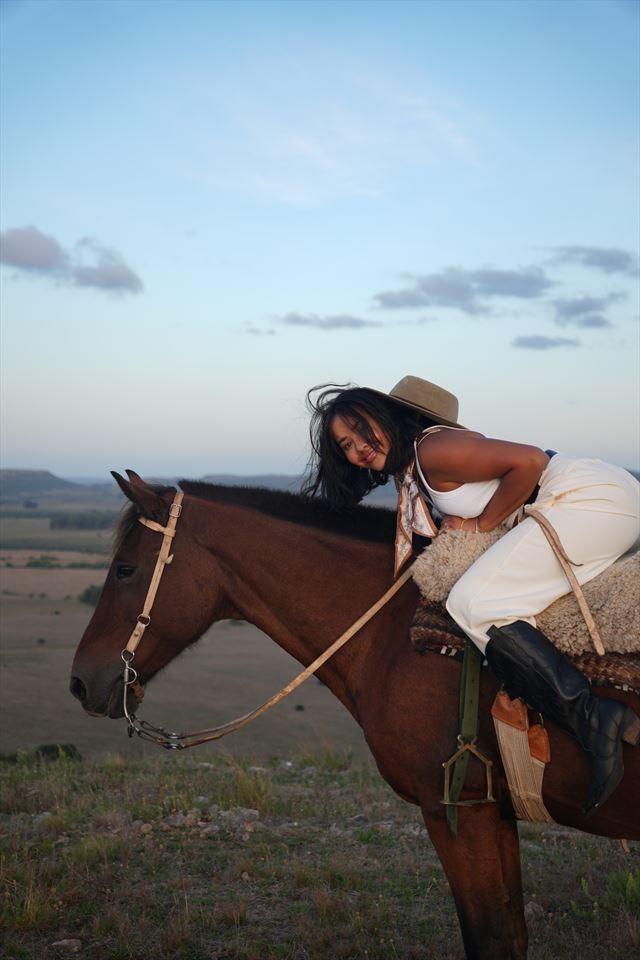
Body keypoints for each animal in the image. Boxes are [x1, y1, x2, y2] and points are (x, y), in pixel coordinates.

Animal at [70, 472, 640, 960]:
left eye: (125, 569)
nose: (80, 682)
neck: (392, 633)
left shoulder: (458, 810)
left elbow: (491, 939)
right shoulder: (493, 811)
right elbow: (511, 935)